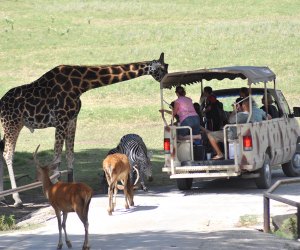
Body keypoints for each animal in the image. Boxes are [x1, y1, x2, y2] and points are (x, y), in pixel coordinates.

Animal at [0, 52, 169, 207]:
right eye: (161, 68)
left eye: (166, 66)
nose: (167, 81)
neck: (80, 84)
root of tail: (1, 103)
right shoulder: (61, 119)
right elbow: (56, 158)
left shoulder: (72, 120)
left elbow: (70, 156)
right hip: (12, 123)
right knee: (8, 154)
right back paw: (17, 199)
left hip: (13, 125)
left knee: (2, 150)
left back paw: (4, 198)